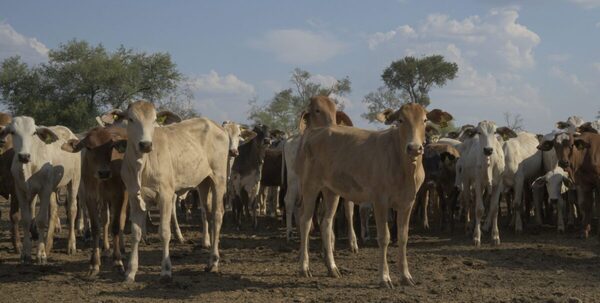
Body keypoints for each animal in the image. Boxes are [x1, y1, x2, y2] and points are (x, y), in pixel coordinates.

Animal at [0, 117, 81, 264]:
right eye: (13, 132)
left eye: (34, 133)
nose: (24, 156)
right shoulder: (20, 191)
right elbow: (26, 220)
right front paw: (26, 253)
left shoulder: (44, 190)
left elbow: (42, 220)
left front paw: (41, 254)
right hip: (52, 188)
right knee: (53, 211)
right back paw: (48, 245)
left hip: (74, 180)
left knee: (72, 210)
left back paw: (71, 245)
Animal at [111, 101, 229, 284]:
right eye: (130, 119)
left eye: (154, 120)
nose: (146, 144)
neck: (142, 166)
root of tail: (216, 126)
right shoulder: (133, 197)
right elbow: (136, 233)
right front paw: (130, 272)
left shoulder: (165, 195)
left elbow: (164, 232)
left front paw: (166, 271)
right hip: (203, 182)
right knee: (208, 214)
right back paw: (209, 262)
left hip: (219, 178)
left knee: (217, 215)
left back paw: (214, 262)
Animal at [292, 97, 452, 288]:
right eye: (400, 120)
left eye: (425, 120)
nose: (414, 148)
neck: (404, 167)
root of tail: (314, 133)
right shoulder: (380, 200)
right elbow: (384, 237)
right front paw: (384, 278)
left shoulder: (408, 202)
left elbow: (403, 237)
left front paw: (406, 276)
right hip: (310, 185)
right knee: (305, 221)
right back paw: (304, 267)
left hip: (331, 190)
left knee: (326, 223)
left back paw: (332, 268)